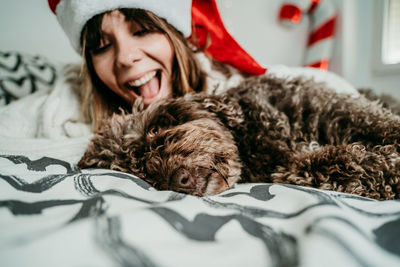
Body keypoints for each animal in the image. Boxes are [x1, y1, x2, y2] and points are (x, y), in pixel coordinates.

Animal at [78, 75, 400, 201]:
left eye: (154, 130)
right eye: (140, 170)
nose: (179, 180)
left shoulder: (341, 112)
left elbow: (385, 127)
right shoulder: (297, 167)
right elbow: (354, 162)